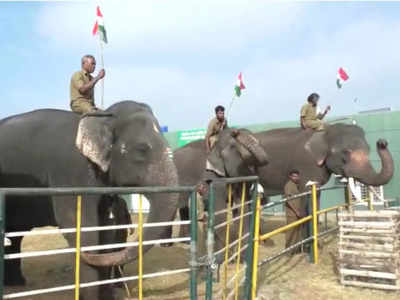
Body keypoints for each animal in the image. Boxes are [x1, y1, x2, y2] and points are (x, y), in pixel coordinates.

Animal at [0, 101, 178, 300]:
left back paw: (16, 283)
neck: (101, 117)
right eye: (141, 150)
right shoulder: (69, 174)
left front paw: (107, 295)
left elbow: (105, 230)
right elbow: (80, 228)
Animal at [170, 127, 268, 258]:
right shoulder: (212, 178)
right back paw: (168, 245)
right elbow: (220, 212)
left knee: (184, 208)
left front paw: (240, 256)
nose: (236, 131)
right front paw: (223, 256)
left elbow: (241, 209)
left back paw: (185, 242)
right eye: (234, 148)